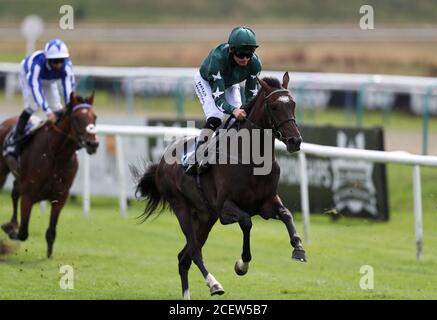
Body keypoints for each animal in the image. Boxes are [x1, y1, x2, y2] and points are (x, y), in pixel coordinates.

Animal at [0, 92, 99, 258]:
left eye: (95, 117)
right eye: (76, 118)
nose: (93, 144)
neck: (57, 156)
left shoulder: (60, 197)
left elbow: (51, 231)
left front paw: (49, 255)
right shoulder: (28, 195)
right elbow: (23, 233)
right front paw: (10, 230)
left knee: (14, 192)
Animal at [135, 72, 304, 300]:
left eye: (293, 104)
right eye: (275, 106)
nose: (295, 140)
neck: (252, 159)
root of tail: (160, 162)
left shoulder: (267, 203)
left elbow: (287, 215)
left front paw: (299, 248)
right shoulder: (225, 208)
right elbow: (246, 222)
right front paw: (242, 265)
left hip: (205, 216)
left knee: (184, 257)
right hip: (182, 207)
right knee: (194, 251)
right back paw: (214, 284)